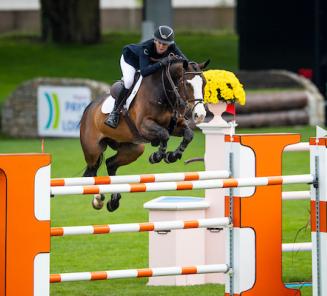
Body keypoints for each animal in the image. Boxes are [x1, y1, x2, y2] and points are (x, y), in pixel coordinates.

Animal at [80, 55, 211, 212]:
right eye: (187, 83)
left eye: (204, 83)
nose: (200, 115)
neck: (163, 92)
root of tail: (88, 109)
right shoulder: (144, 126)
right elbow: (164, 135)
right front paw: (157, 156)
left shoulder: (175, 126)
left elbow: (188, 134)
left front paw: (172, 156)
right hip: (93, 150)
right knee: (91, 172)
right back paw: (98, 199)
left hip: (134, 149)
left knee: (110, 164)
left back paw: (114, 201)